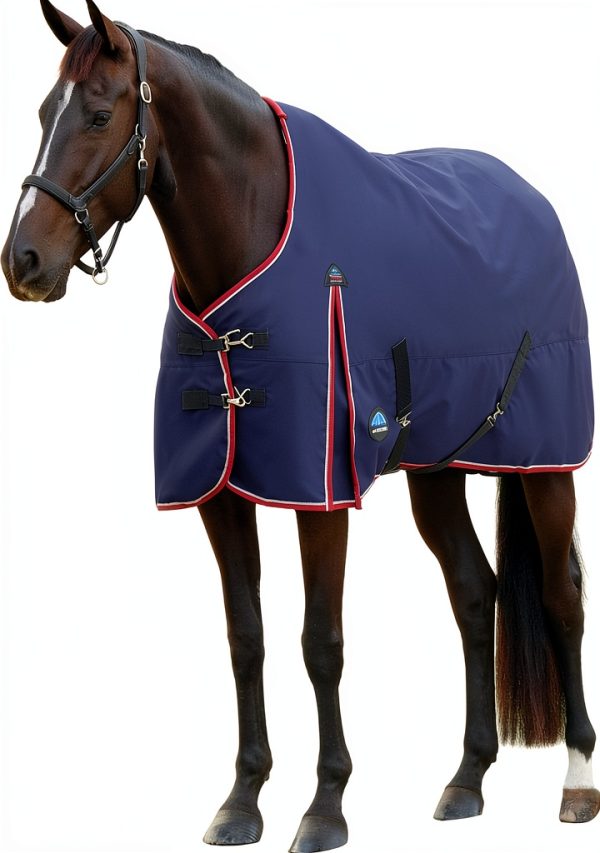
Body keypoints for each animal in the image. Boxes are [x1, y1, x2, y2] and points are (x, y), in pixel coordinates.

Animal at [2, 2, 598, 851]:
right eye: (42, 112)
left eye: (97, 115)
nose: (22, 261)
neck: (251, 244)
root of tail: (533, 200)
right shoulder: (221, 495)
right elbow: (245, 636)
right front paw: (243, 797)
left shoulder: (320, 493)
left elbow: (322, 642)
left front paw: (325, 805)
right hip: (438, 470)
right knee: (472, 591)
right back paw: (466, 777)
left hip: (546, 469)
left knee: (561, 597)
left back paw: (577, 780)